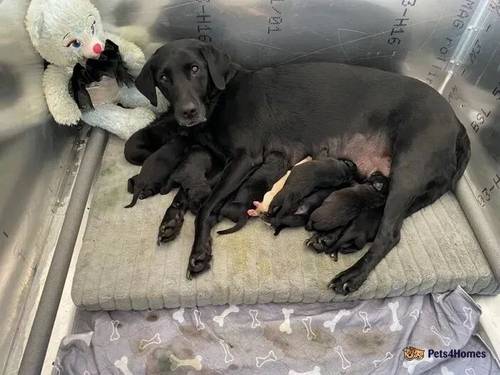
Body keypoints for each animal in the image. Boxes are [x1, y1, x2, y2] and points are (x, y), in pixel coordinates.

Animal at [127, 39, 470, 296]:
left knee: (389, 235)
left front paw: (199, 251)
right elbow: (190, 190)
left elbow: (207, 207)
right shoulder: (219, 160)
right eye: (164, 78)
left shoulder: (245, 158)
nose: (187, 112)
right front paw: (171, 220)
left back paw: (351, 277)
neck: (217, 100)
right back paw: (328, 241)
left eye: (195, 69)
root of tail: (458, 123)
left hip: (408, 171)